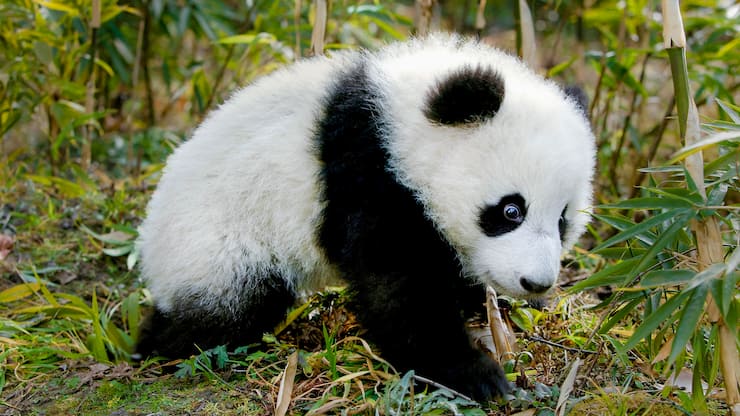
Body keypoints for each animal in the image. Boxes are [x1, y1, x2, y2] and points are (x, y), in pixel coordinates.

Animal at [135, 33, 595, 401]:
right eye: (510, 210)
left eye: (562, 220)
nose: (537, 283)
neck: (400, 121)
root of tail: (149, 241)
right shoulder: (367, 171)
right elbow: (397, 285)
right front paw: (474, 374)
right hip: (219, 240)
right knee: (232, 307)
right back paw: (162, 344)